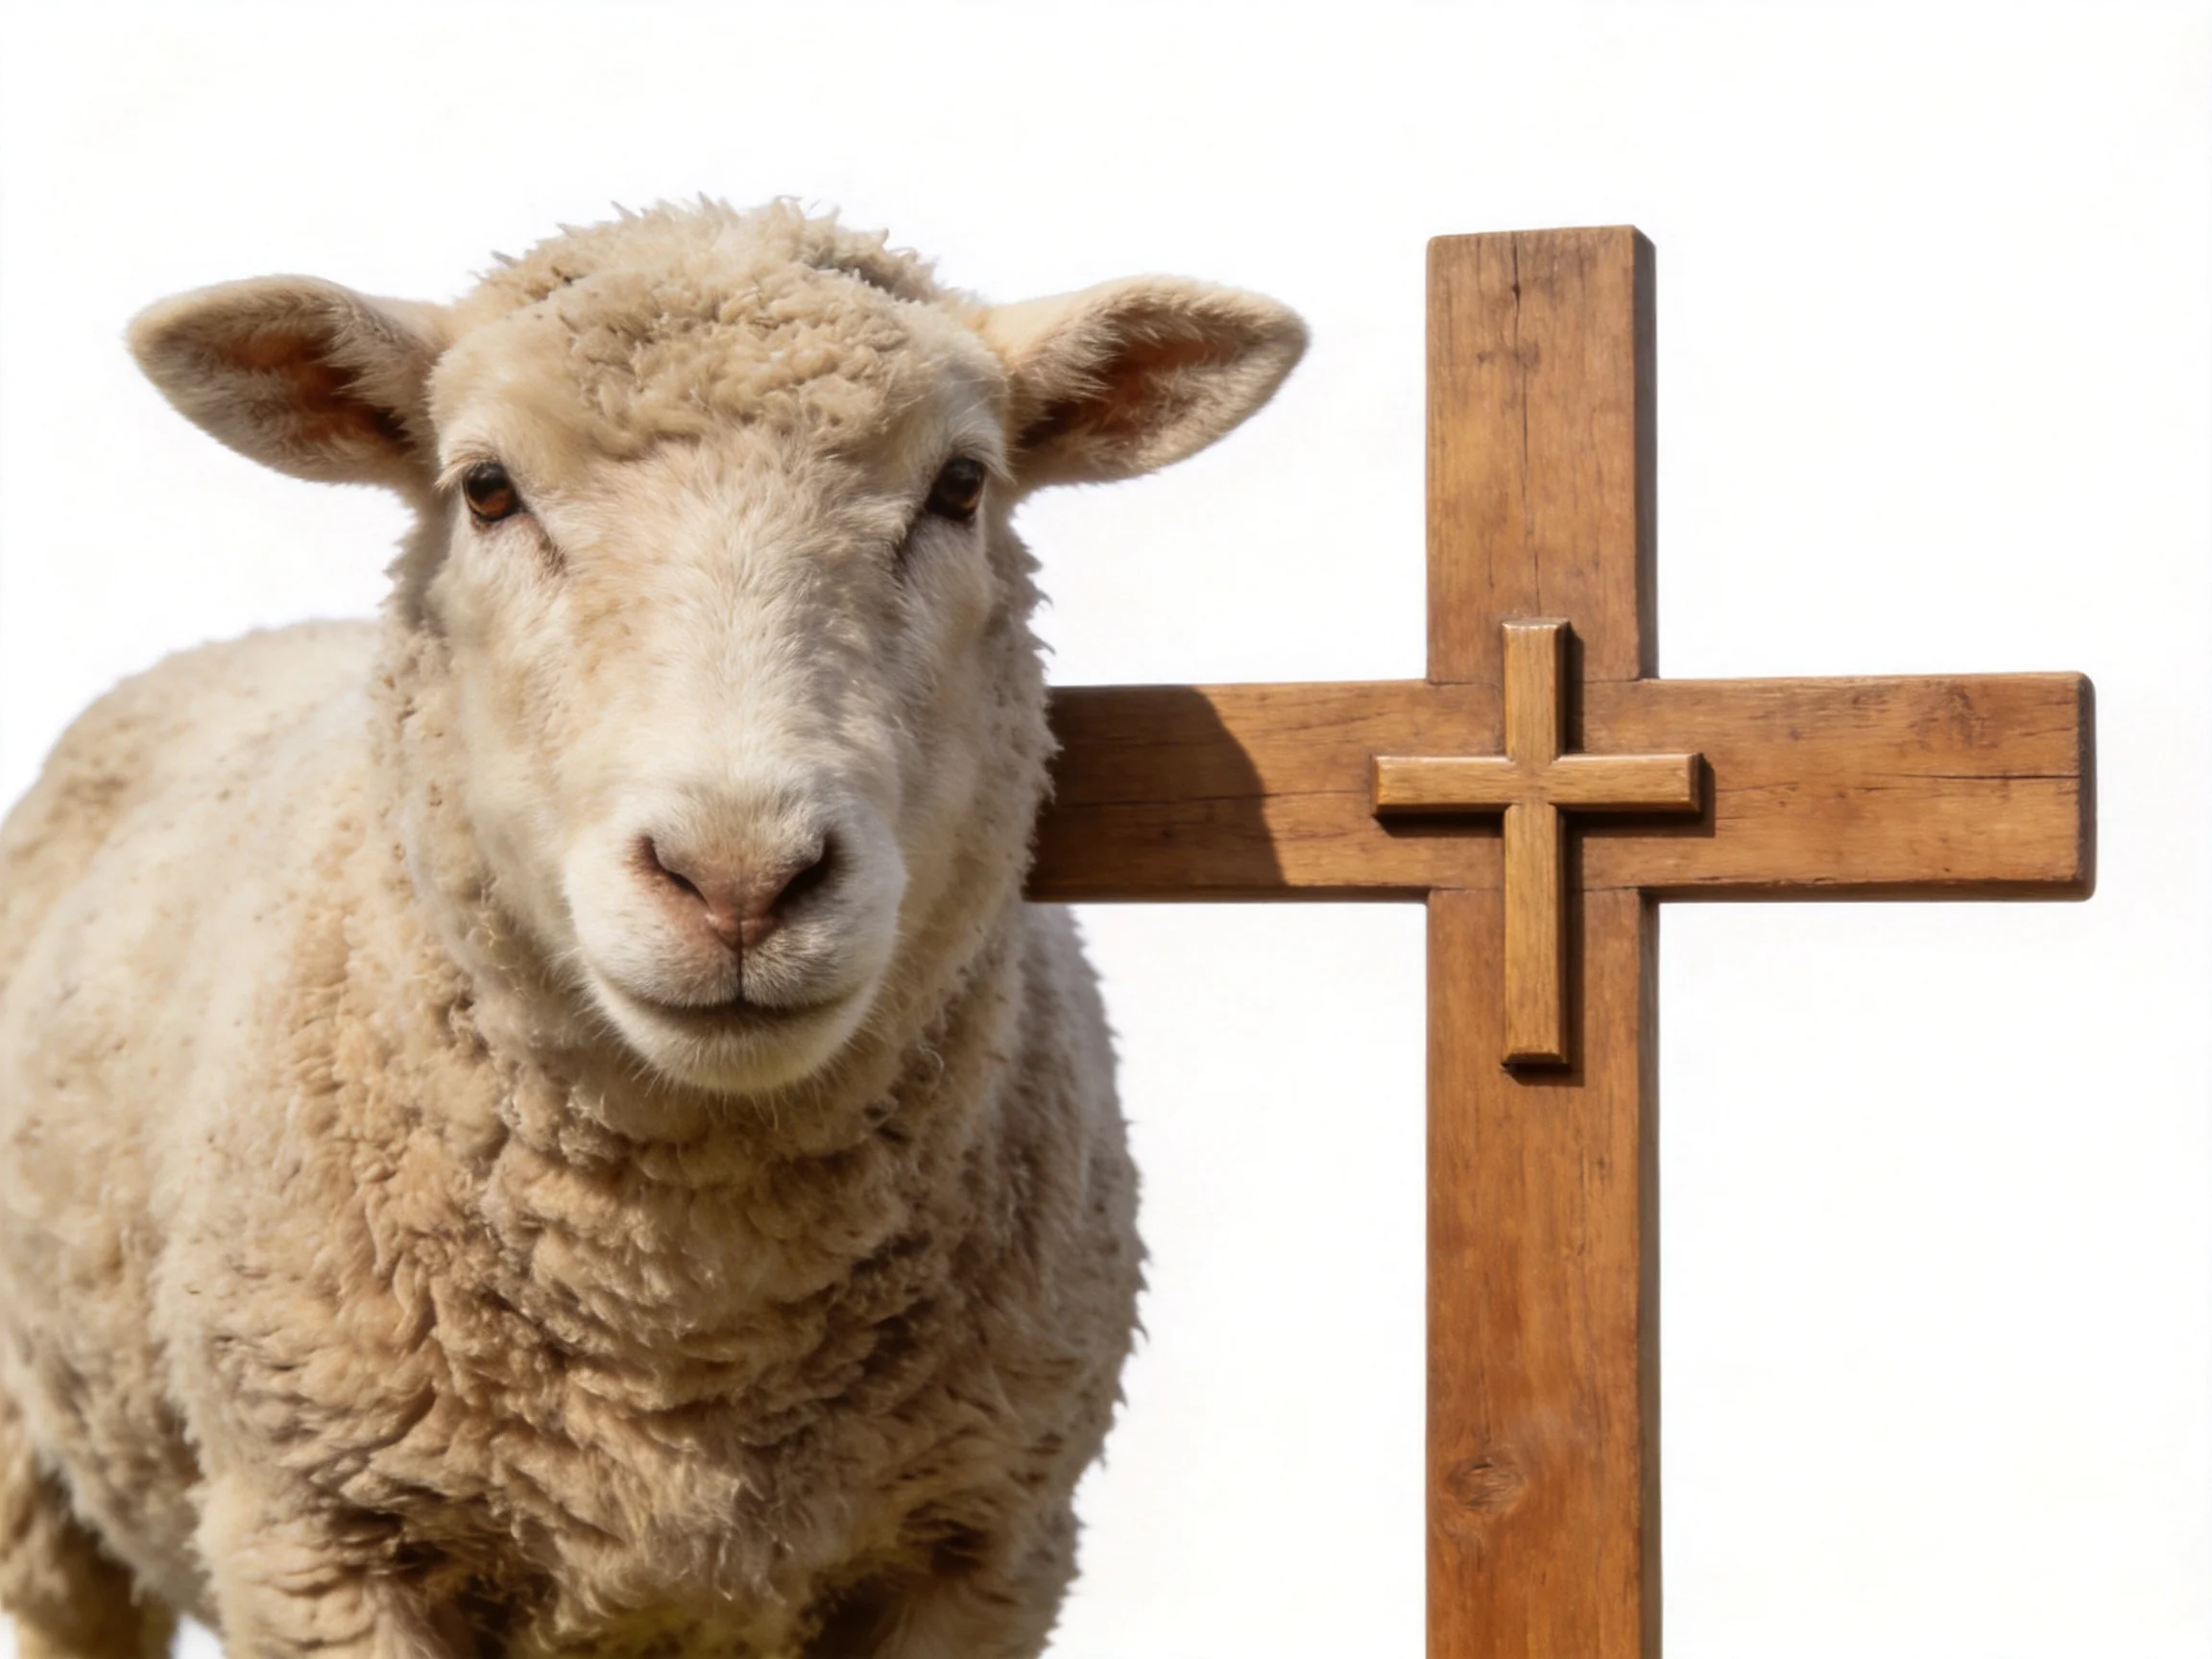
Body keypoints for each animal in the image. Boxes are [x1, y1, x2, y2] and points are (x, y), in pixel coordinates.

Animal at [0, 200, 1305, 1659]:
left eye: (962, 486)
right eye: (486, 489)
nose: (738, 880)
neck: (688, 1305)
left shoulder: (982, 1549)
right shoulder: (321, 1542)